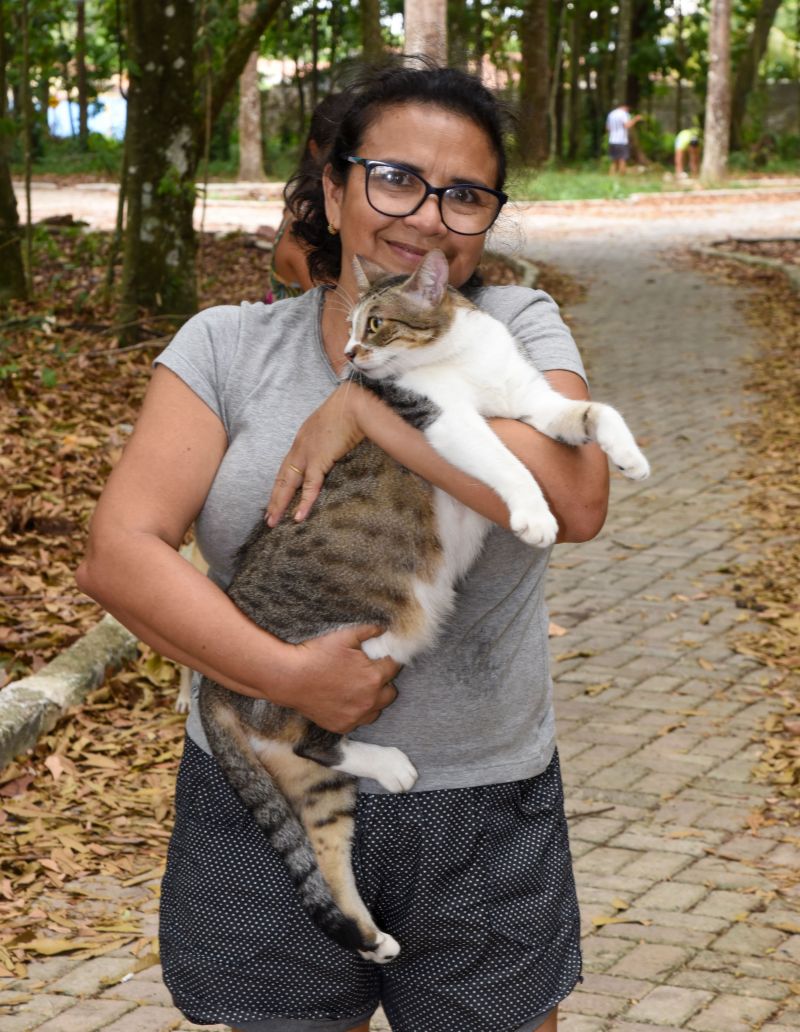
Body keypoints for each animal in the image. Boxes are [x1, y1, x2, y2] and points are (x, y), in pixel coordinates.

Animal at [198, 249, 652, 965]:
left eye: (376, 322)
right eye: (350, 324)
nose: (351, 354)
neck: (460, 352)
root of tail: (210, 686)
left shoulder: (534, 402)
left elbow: (593, 412)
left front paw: (630, 458)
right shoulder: (447, 422)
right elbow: (509, 463)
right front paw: (534, 517)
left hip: (323, 783)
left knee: (321, 827)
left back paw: (372, 937)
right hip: (340, 655)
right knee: (305, 739)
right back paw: (392, 764)